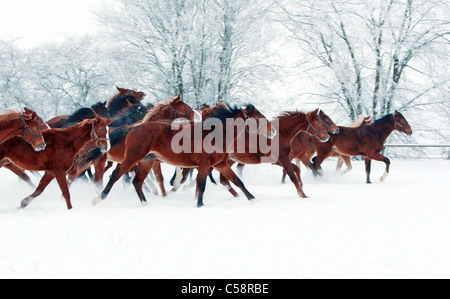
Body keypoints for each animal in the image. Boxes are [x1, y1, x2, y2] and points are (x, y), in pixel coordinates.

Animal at [93, 103, 272, 209]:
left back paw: (145, 203)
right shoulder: (205, 165)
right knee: (116, 175)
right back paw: (99, 198)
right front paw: (200, 205)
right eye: (258, 116)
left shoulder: (221, 164)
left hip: (146, 161)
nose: (272, 130)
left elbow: (237, 181)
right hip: (133, 157)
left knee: (137, 181)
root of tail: (132, 128)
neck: (215, 135)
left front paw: (253, 199)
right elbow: (202, 184)